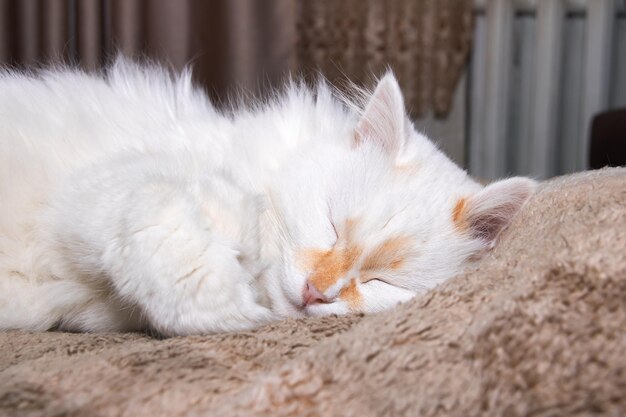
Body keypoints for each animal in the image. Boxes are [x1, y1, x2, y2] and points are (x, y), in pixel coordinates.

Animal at [0, 60, 536, 334]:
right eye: (331, 225)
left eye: (380, 281)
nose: (316, 291)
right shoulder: (99, 189)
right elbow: (175, 229)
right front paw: (228, 283)